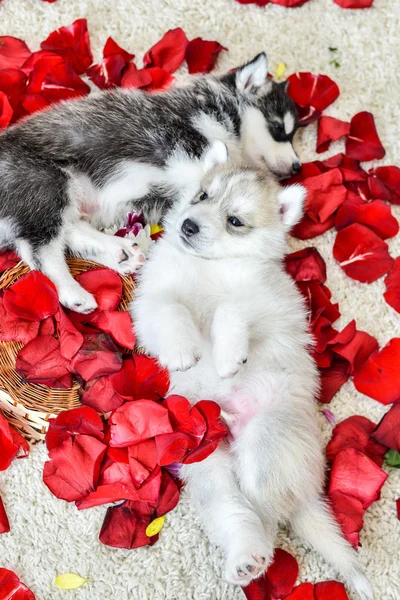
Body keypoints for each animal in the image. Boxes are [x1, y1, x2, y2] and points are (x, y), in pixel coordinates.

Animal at [0, 53, 300, 314]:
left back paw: (117, 251)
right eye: (278, 128)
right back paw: (73, 292)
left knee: (62, 232)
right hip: (47, 183)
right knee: (39, 250)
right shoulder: (186, 149)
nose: (298, 166)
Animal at [133, 146, 374, 600]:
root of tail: (307, 490)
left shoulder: (268, 305)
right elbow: (169, 309)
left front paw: (228, 357)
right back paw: (245, 558)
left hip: (265, 445)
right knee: (236, 513)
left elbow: (231, 308)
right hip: (207, 461)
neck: (210, 266)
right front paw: (182, 351)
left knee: (266, 513)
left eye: (235, 221)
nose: (189, 225)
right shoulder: (152, 300)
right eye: (202, 196)